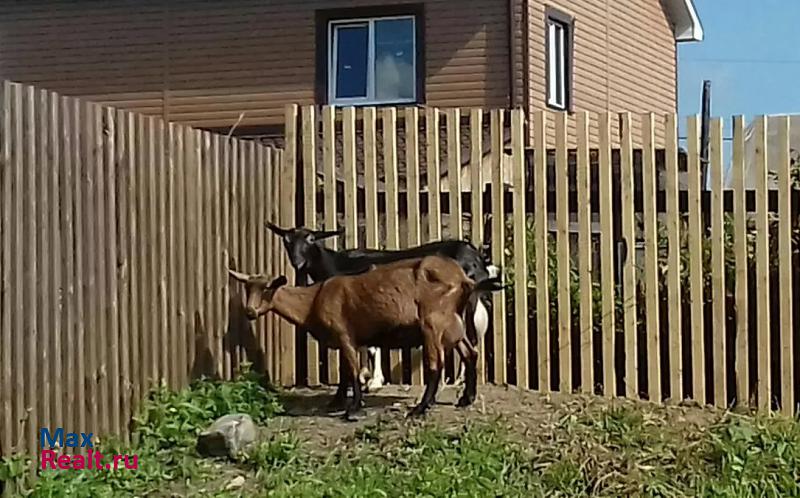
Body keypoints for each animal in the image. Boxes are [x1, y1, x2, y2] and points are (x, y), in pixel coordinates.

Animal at [227, 255, 500, 418]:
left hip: (432, 323)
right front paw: (337, 402)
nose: (250, 312)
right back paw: (466, 399)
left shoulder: (345, 334)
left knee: (436, 364)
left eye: (267, 289)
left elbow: (352, 370)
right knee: (470, 353)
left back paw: (421, 408)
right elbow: (345, 373)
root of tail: (464, 279)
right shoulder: (347, 340)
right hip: (453, 324)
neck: (314, 299)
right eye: (247, 288)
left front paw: (353, 408)